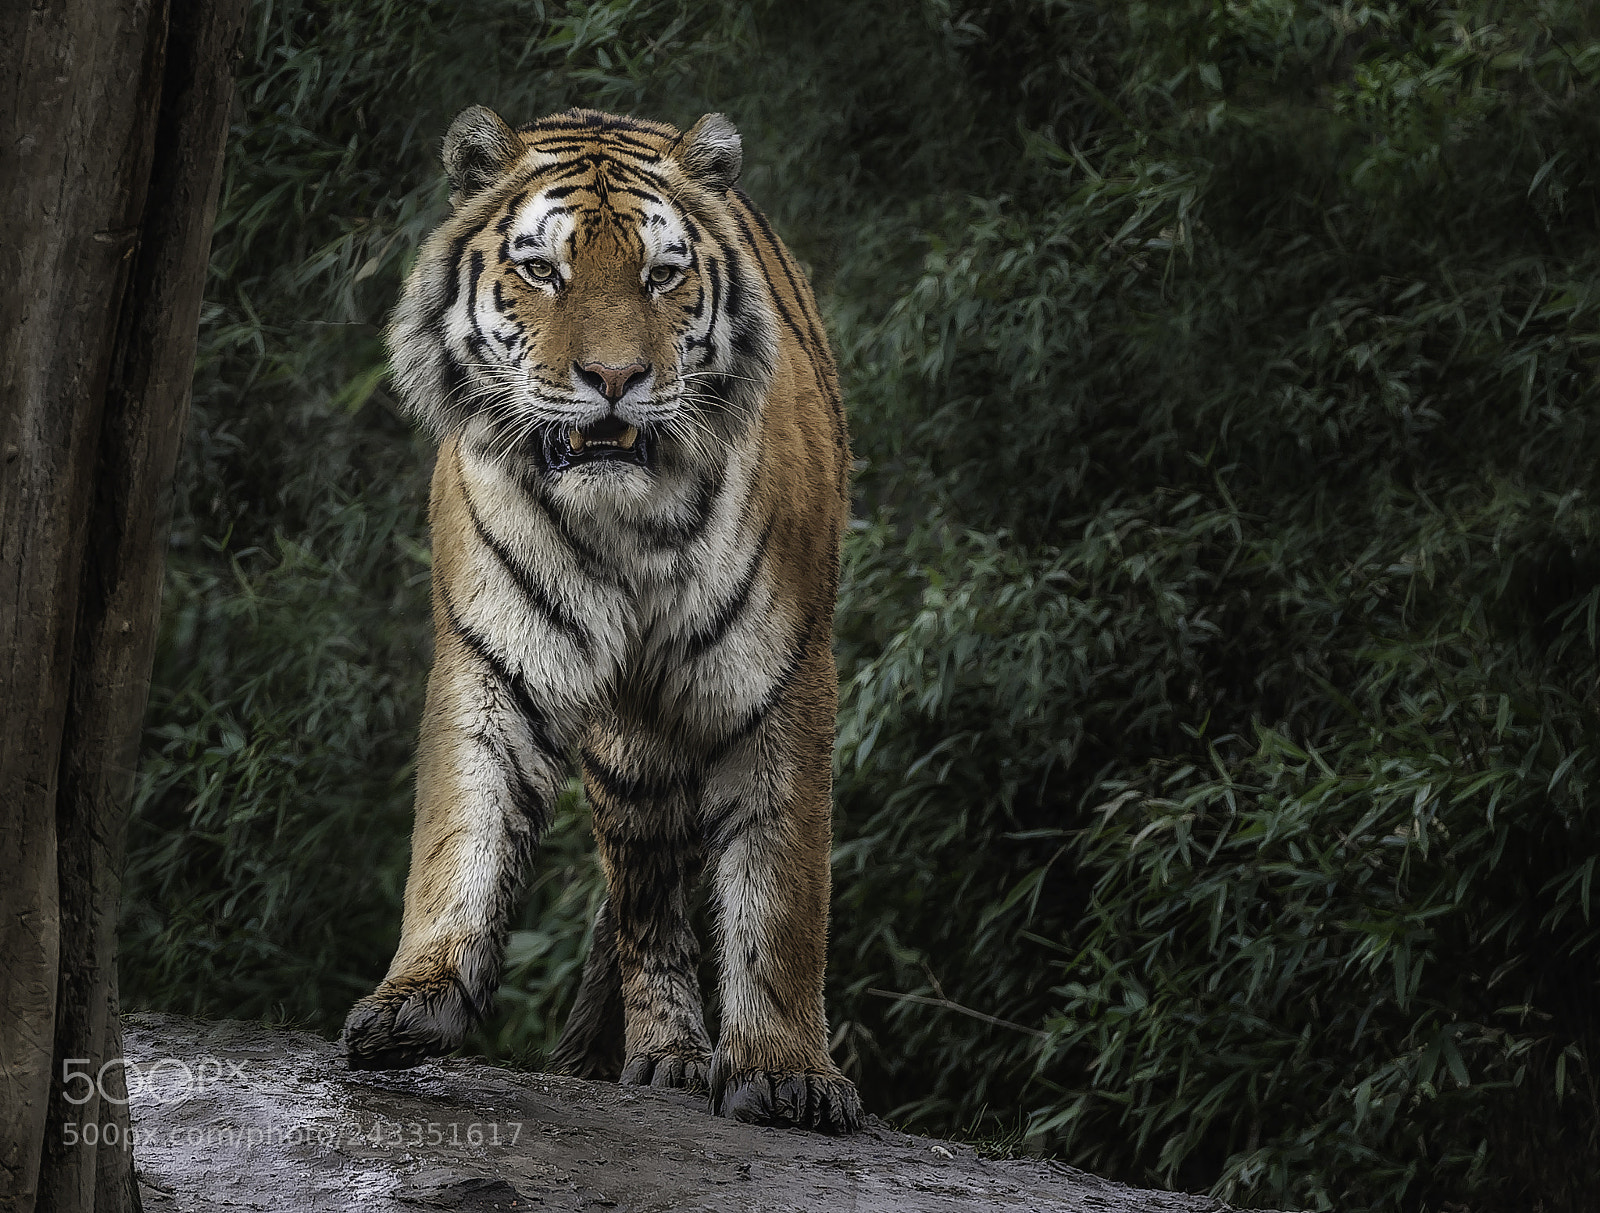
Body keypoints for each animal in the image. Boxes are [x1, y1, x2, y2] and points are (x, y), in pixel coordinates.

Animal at [339, 104, 863, 1134]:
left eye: (662, 274)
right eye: (544, 270)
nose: (614, 377)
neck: (627, 524)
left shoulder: (784, 670)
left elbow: (782, 885)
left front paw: (785, 1071)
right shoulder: (491, 651)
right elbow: (461, 823)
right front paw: (413, 998)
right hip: (633, 754)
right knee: (646, 902)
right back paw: (665, 1052)